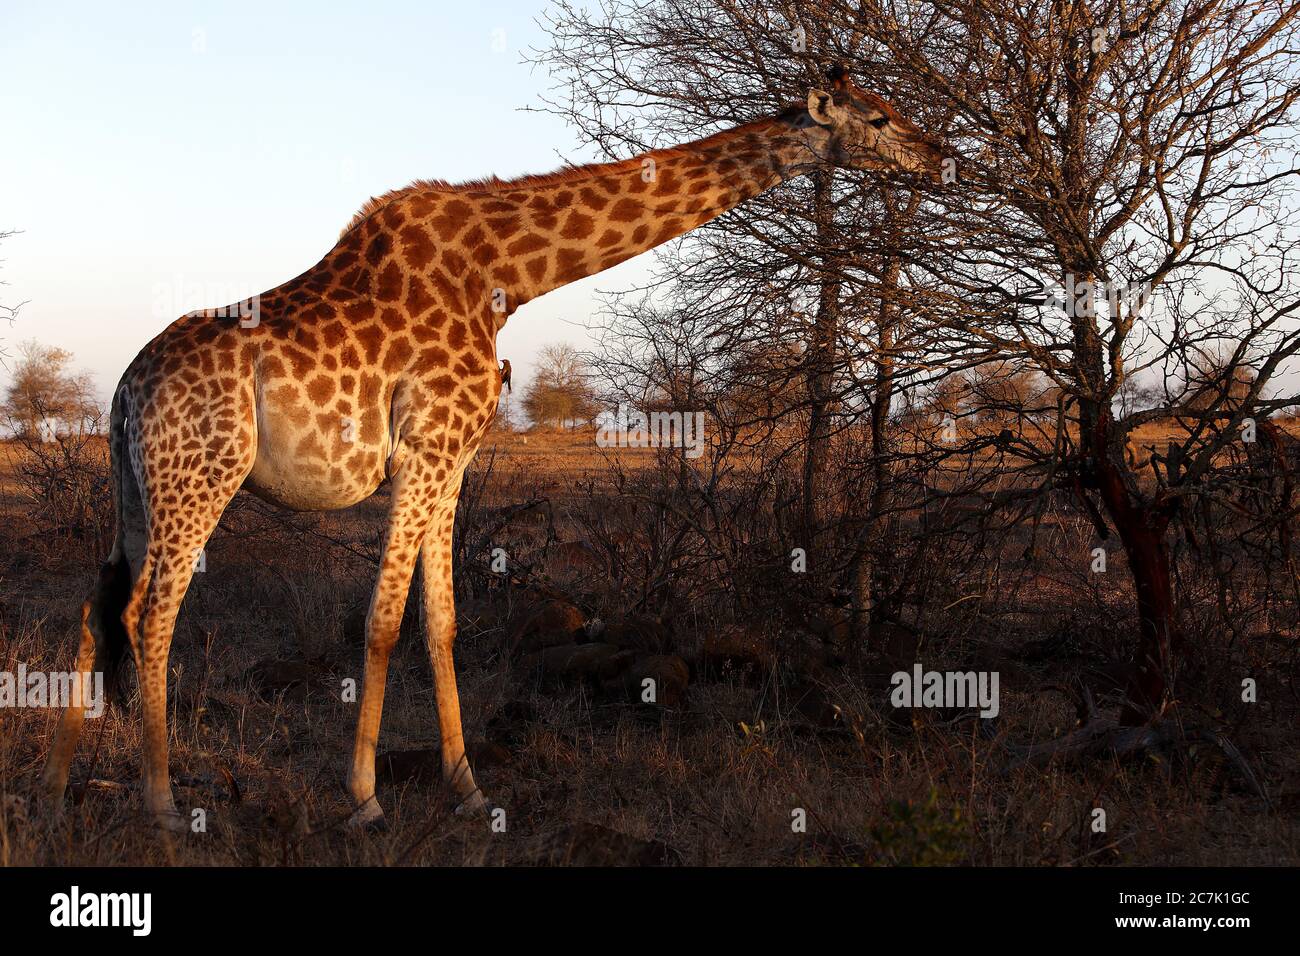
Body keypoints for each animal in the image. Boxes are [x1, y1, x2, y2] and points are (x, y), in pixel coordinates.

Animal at [38, 67, 935, 832]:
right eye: (879, 117)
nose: (940, 155)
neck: (508, 277)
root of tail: (122, 391)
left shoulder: (454, 458)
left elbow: (441, 621)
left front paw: (468, 789)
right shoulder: (424, 449)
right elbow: (382, 621)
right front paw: (364, 799)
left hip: (136, 483)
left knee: (96, 604)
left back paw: (59, 785)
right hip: (204, 473)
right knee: (151, 612)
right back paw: (160, 802)